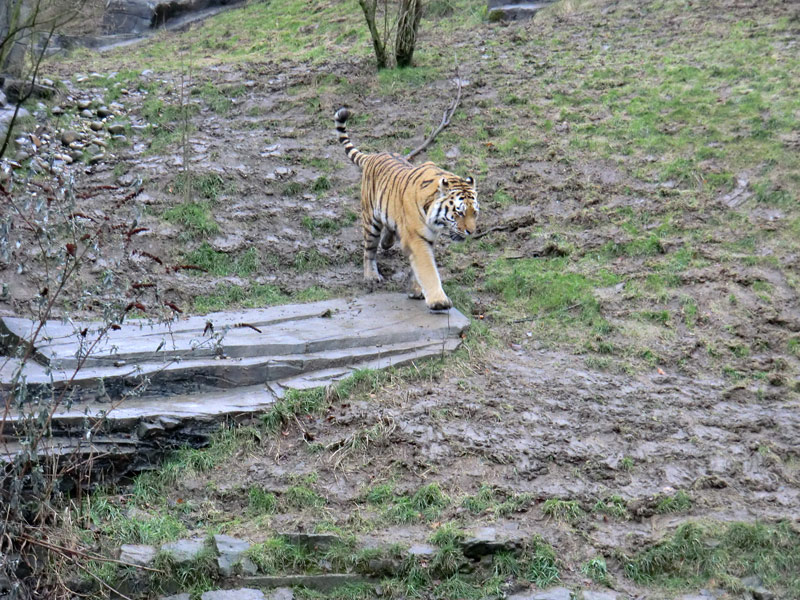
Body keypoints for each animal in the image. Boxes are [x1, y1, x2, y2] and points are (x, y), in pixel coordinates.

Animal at [334, 107, 478, 312]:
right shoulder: (417, 237)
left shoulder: (427, 237)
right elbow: (428, 269)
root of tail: (374, 155)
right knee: (369, 250)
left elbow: (419, 267)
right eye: (459, 212)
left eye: (474, 212)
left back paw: (387, 241)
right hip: (370, 220)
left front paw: (416, 291)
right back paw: (371, 276)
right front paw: (439, 301)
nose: (471, 232)